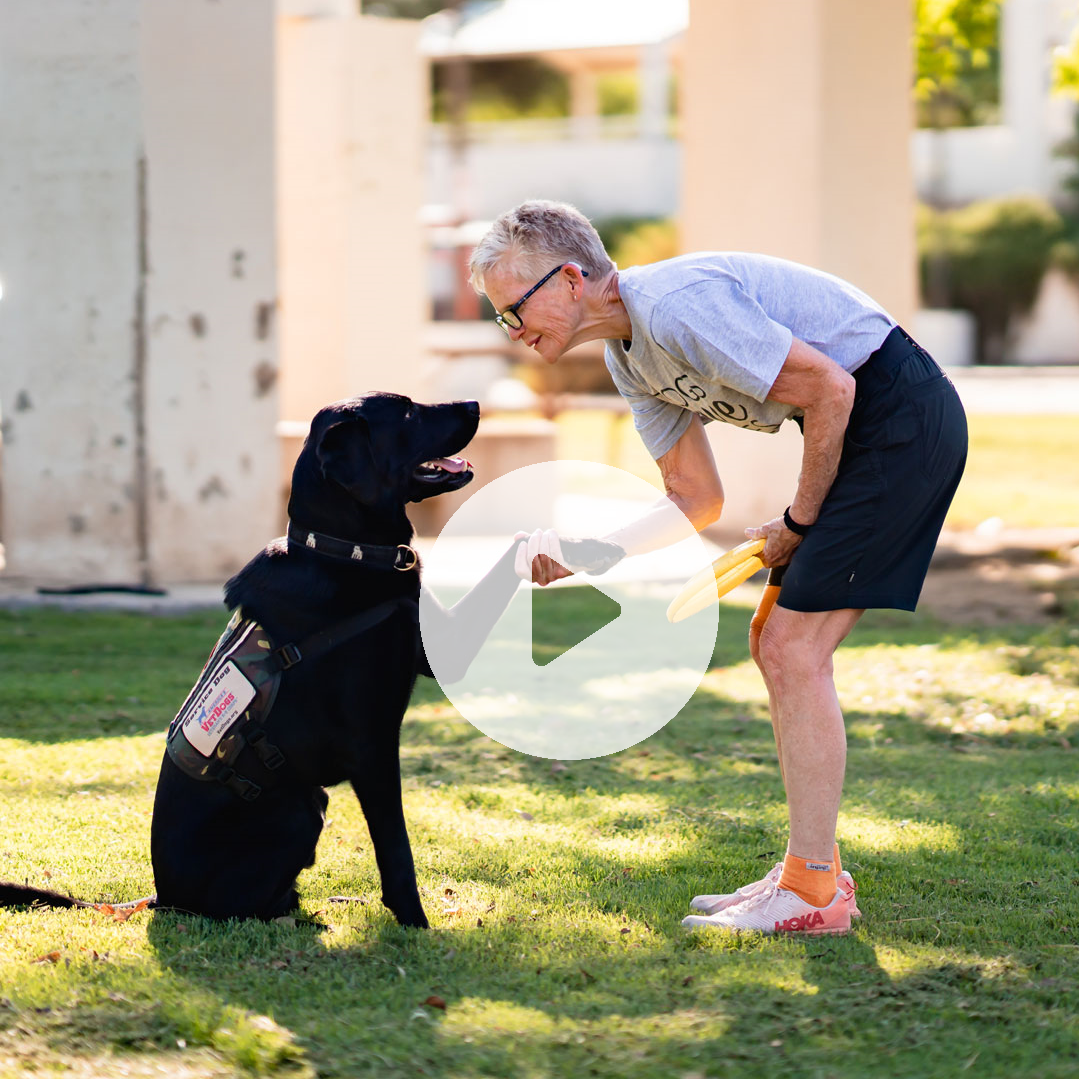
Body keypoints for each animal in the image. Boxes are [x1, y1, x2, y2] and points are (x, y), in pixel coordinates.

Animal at [0, 392, 621, 923]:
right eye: (407, 412)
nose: (474, 403)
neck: (346, 553)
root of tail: (162, 897)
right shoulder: (373, 748)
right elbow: (396, 850)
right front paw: (415, 925)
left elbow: (517, 545)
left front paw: (588, 546)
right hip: (300, 806)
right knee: (244, 908)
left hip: (311, 800)